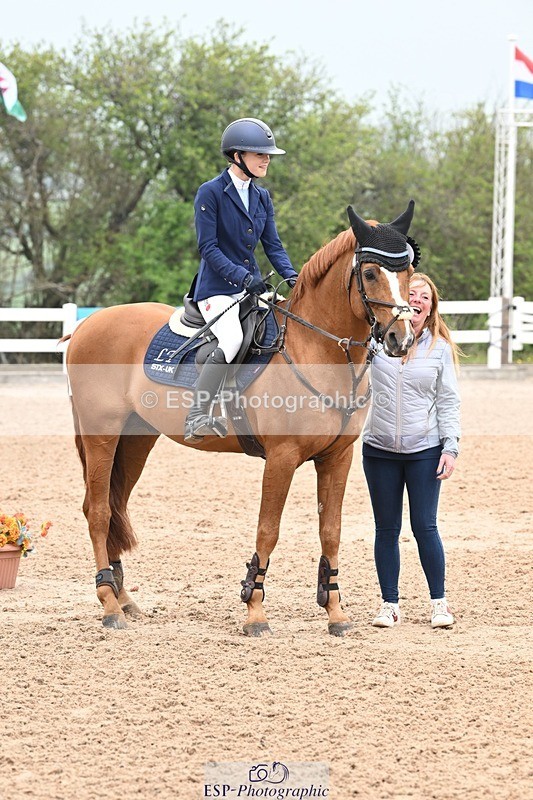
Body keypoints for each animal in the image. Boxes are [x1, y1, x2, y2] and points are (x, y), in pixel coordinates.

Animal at [64, 202, 417, 636]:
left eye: (408, 271)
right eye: (369, 274)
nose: (402, 338)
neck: (314, 349)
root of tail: (86, 325)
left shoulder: (338, 458)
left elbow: (330, 532)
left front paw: (335, 614)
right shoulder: (282, 457)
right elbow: (268, 530)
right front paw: (255, 611)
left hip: (135, 440)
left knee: (115, 506)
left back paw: (124, 598)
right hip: (102, 435)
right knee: (97, 511)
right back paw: (109, 606)